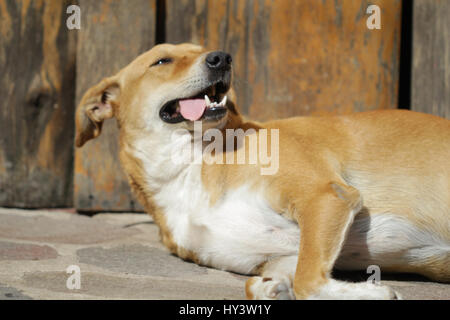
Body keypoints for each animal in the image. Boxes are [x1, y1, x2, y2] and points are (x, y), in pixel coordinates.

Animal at [75, 43, 448, 300]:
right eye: (162, 61)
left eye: (202, 49)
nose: (221, 58)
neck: (189, 166)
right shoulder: (276, 256)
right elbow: (264, 283)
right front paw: (275, 290)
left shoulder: (326, 196)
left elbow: (308, 282)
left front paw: (372, 293)